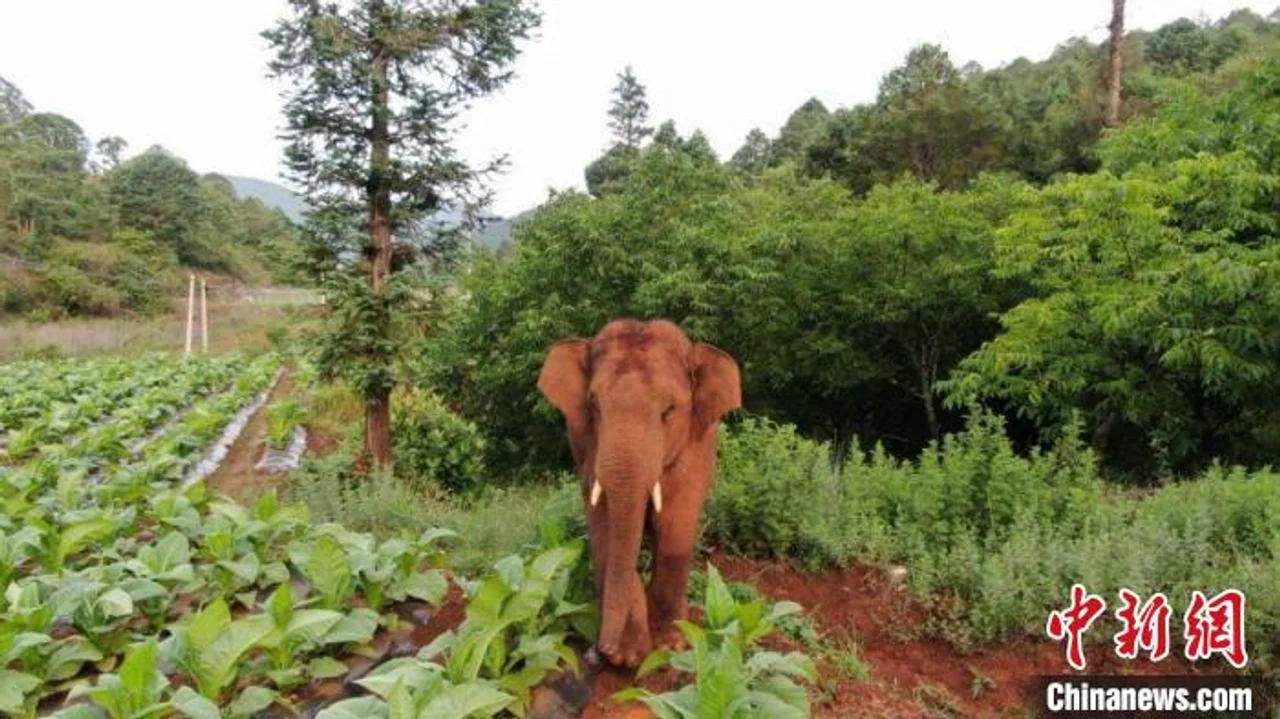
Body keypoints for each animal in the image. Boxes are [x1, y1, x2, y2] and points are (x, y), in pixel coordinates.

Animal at [537, 318, 741, 668]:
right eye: (594, 404)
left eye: (669, 409)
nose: (598, 651)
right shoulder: (587, 447)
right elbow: (605, 525)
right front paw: (627, 656)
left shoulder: (694, 449)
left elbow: (675, 524)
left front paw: (671, 644)